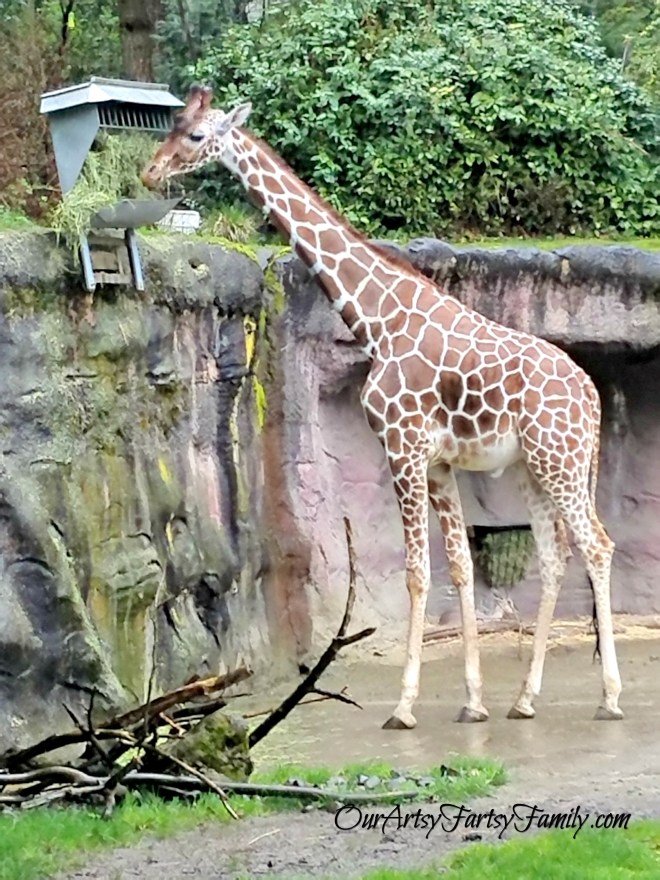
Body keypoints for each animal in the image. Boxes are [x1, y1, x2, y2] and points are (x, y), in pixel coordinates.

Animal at [142, 85, 623, 729]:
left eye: (195, 136)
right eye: (173, 125)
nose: (149, 172)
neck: (376, 321)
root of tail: (591, 395)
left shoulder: (402, 446)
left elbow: (417, 574)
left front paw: (404, 704)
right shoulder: (438, 462)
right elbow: (459, 567)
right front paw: (473, 701)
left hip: (559, 461)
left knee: (597, 545)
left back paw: (610, 697)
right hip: (534, 467)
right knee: (554, 556)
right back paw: (523, 699)